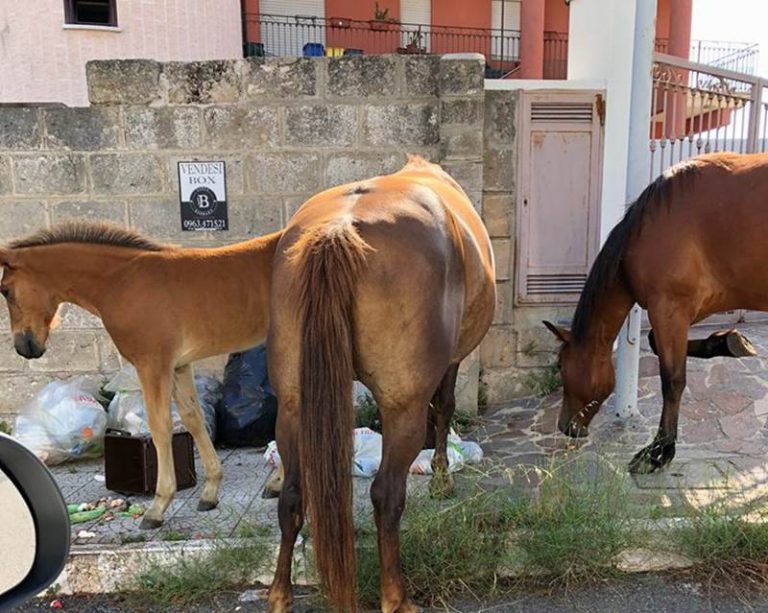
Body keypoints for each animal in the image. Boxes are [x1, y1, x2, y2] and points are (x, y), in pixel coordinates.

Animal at [0, 222, 282, 528]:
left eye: (4, 290)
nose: (25, 347)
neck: (121, 282)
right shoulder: (178, 366)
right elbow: (192, 419)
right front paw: (210, 492)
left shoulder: (152, 365)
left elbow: (160, 427)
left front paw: (158, 507)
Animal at [264, 155, 496, 608]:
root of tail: (339, 229)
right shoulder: (452, 360)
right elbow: (444, 408)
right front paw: (441, 477)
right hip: (400, 408)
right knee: (386, 495)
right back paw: (396, 598)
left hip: (294, 406)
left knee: (293, 497)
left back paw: (280, 596)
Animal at [544, 152, 768, 474]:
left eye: (561, 365)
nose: (566, 426)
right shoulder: (685, 310)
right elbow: (655, 345)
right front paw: (728, 342)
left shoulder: (669, 308)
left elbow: (672, 380)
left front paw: (659, 451)